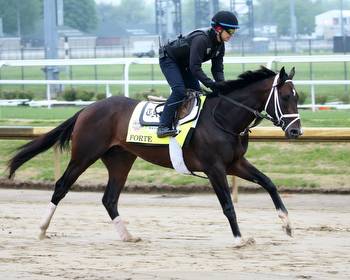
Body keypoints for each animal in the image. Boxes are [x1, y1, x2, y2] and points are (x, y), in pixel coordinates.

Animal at [7, 65, 300, 247]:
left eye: (297, 98)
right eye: (286, 97)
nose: (296, 130)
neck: (223, 117)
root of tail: (87, 109)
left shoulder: (235, 163)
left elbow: (269, 183)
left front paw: (287, 224)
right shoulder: (214, 167)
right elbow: (227, 204)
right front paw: (240, 239)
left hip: (121, 160)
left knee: (109, 198)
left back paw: (128, 236)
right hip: (84, 155)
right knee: (61, 186)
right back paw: (42, 229)